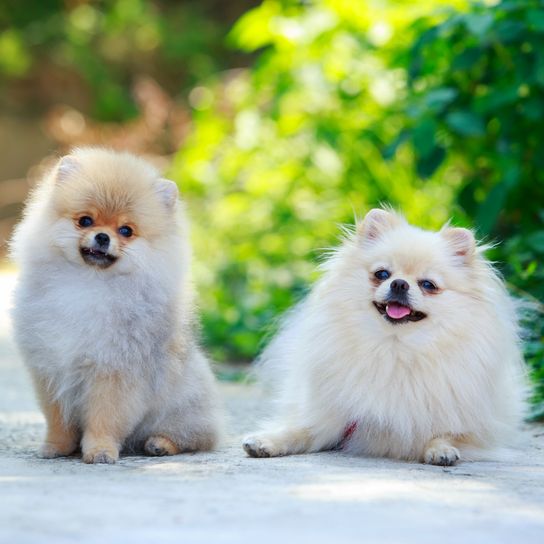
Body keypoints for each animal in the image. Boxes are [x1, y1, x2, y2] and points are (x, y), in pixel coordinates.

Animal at [10, 148, 221, 464]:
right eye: (85, 221)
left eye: (126, 230)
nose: (102, 236)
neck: (89, 283)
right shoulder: (51, 366)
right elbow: (58, 418)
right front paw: (56, 447)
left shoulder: (115, 371)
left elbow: (105, 418)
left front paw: (99, 450)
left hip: (184, 408)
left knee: (195, 437)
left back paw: (160, 444)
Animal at [243, 207, 528, 464]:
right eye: (382, 274)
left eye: (428, 285)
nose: (399, 283)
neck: (395, 348)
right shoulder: (333, 416)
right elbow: (299, 430)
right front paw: (266, 441)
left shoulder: (473, 431)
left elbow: (447, 434)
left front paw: (441, 449)